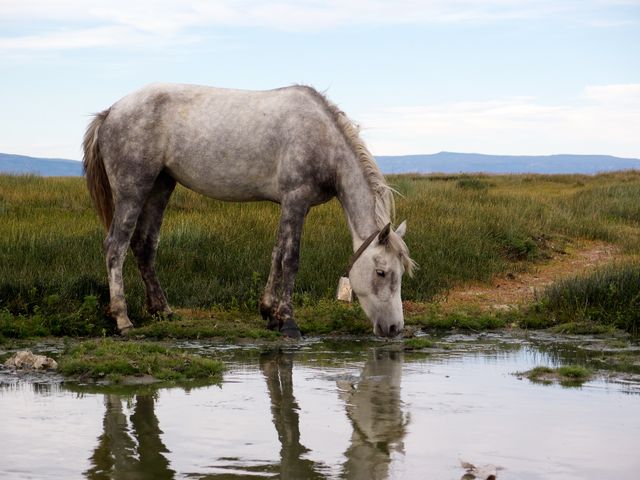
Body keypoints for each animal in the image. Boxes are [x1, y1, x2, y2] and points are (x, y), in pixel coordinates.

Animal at [82, 83, 416, 338]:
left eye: (401, 273)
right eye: (381, 272)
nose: (394, 328)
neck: (322, 139)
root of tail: (111, 111)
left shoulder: (291, 206)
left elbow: (277, 253)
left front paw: (269, 313)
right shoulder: (296, 200)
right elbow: (290, 259)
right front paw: (288, 321)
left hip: (160, 186)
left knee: (144, 245)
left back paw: (162, 310)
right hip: (133, 190)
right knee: (116, 247)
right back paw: (123, 320)